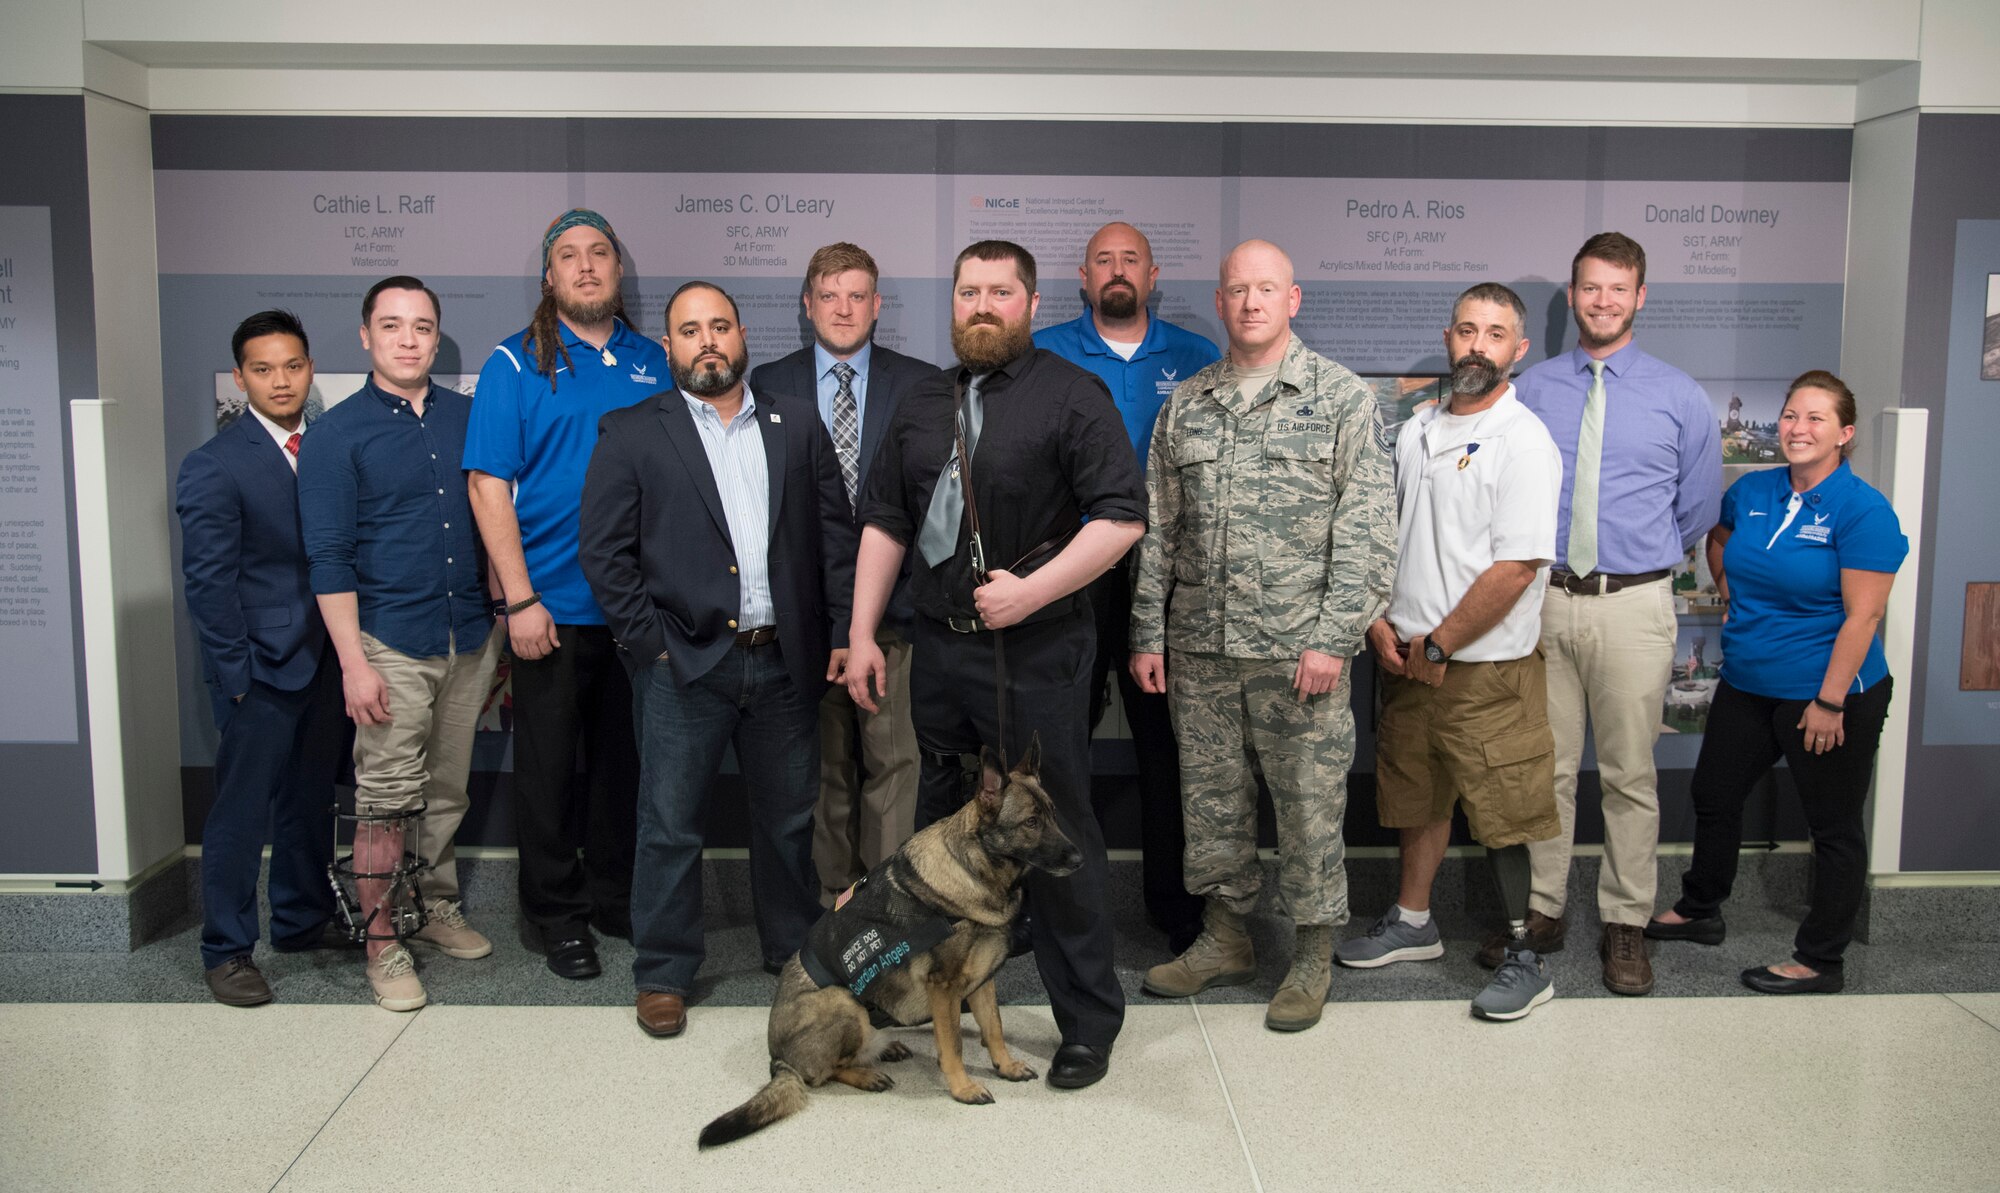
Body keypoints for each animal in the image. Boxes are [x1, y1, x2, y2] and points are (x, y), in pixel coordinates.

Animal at [700, 736, 1088, 1144]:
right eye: (1031, 822)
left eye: (1053, 816)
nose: (1080, 859)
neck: (976, 870)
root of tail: (778, 1061)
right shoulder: (944, 989)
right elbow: (953, 1043)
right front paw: (963, 1088)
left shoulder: (983, 981)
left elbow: (994, 1028)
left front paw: (1006, 1065)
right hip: (844, 1003)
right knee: (823, 1073)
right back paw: (867, 1075)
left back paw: (886, 1050)